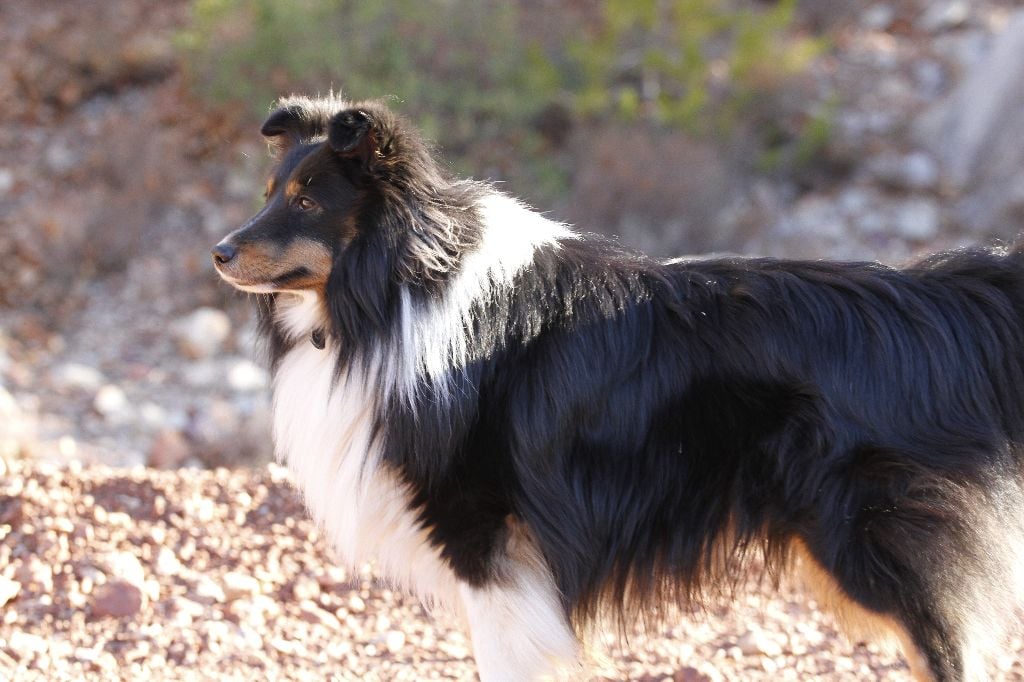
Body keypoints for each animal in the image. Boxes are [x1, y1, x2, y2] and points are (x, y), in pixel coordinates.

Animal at [212, 95, 1024, 681]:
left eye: (308, 201)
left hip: (870, 542)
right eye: (270, 191)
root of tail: (932, 298)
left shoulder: (490, 545)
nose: (218, 252)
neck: (398, 290)